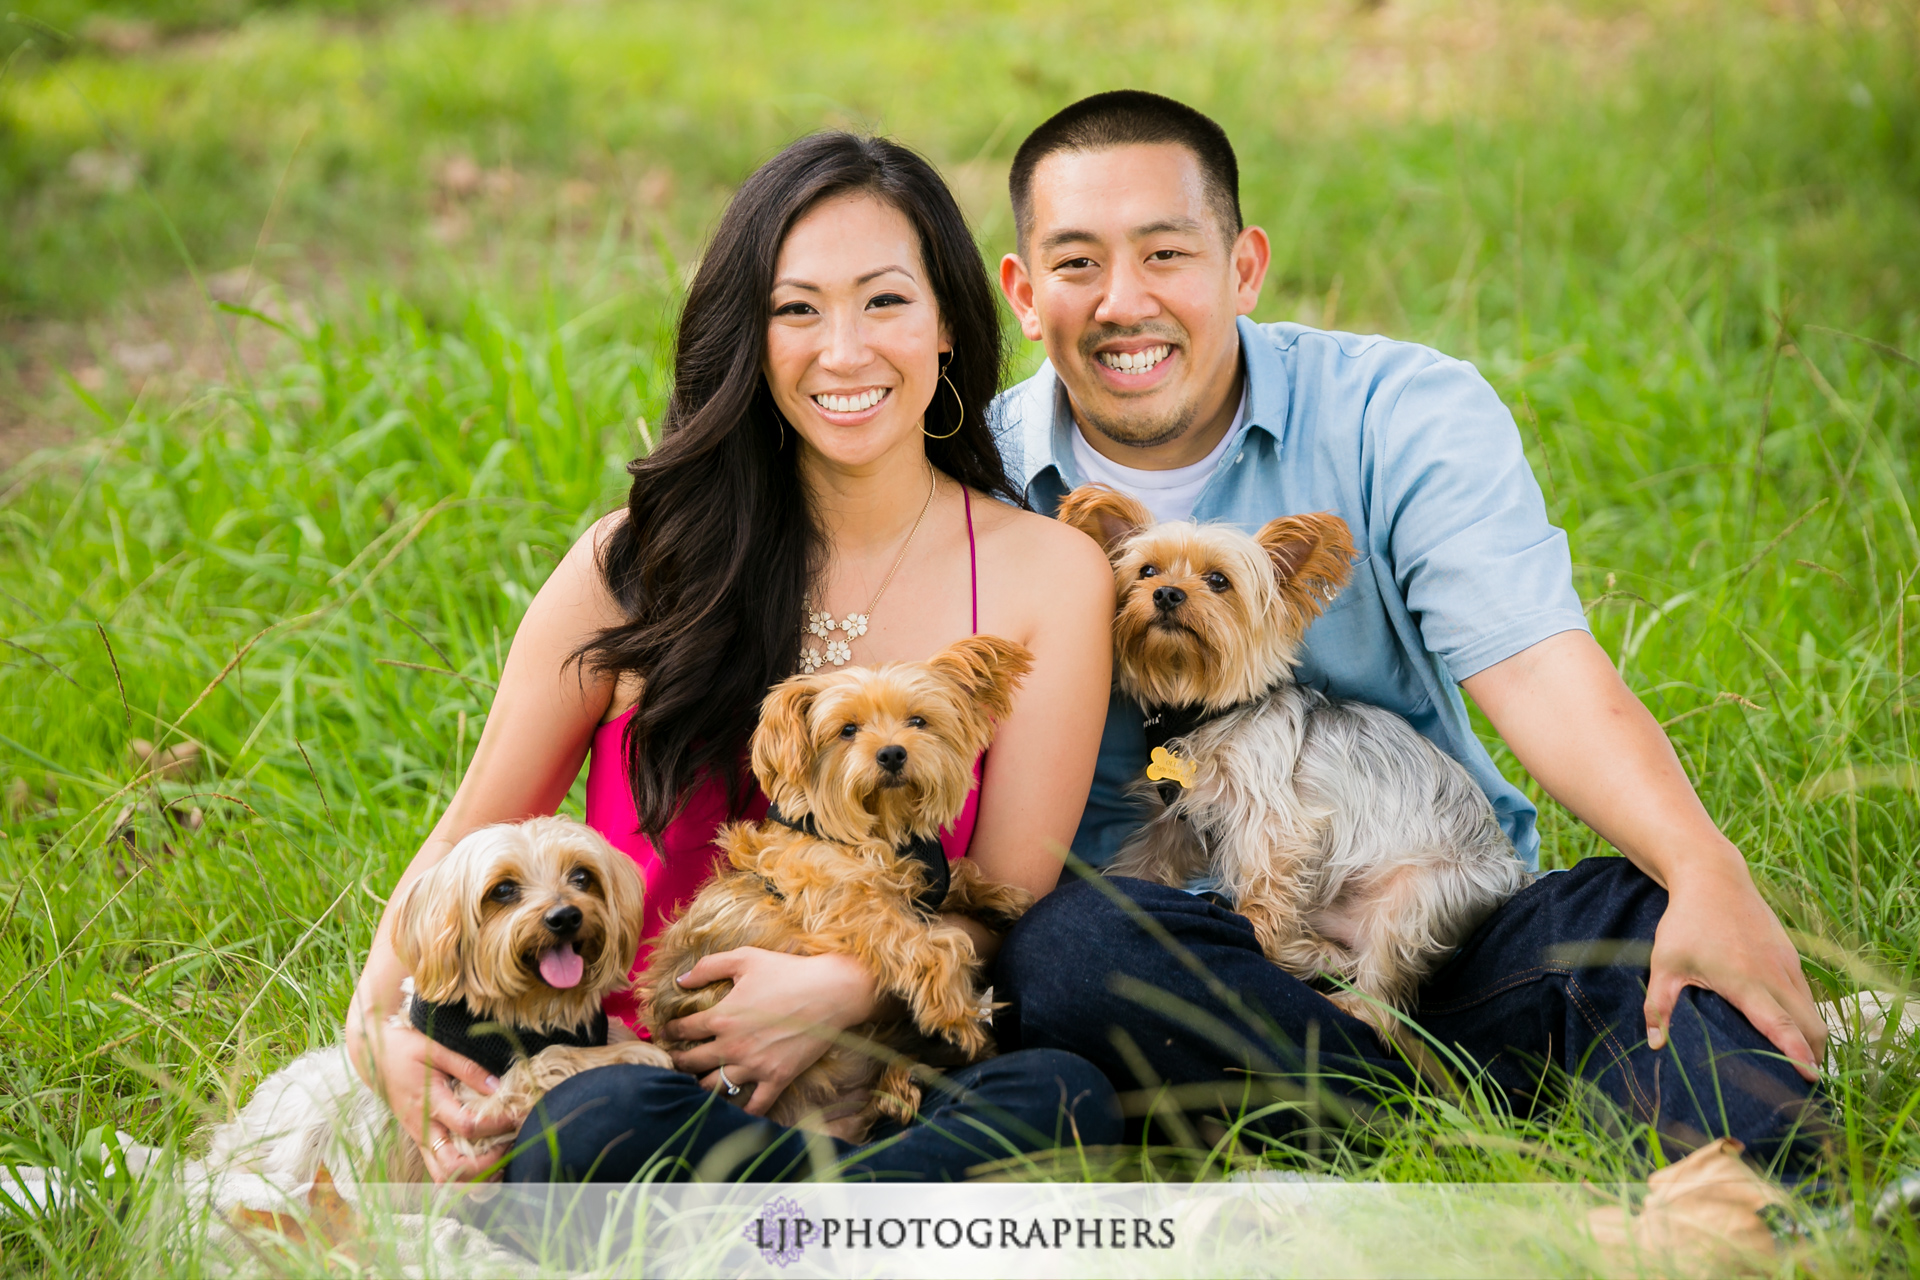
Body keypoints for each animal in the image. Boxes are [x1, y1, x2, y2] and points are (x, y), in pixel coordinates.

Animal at [202, 817, 668, 1197]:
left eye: (582, 877)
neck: (532, 1012)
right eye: (503, 890)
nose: (565, 916)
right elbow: (547, 1060)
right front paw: (631, 1053)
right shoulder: (474, 1116)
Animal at [641, 637, 1036, 1143]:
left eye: (918, 721)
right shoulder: (851, 909)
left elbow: (957, 876)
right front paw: (956, 1011)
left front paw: (1001, 898)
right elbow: (930, 944)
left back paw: (900, 1086)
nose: (891, 754)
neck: (880, 830)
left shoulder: (918, 876)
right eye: (847, 730)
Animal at [1059, 487, 1520, 1051]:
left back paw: (1338, 992)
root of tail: (1511, 874)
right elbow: (1143, 867)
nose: (1166, 594)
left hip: (1416, 901)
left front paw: (1254, 932)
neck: (1205, 713)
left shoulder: (1278, 819)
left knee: (1384, 1003)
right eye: (1146, 570)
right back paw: (1320, 953)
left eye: (1219, 581)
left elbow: (1265, 888)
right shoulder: (1175, 823)